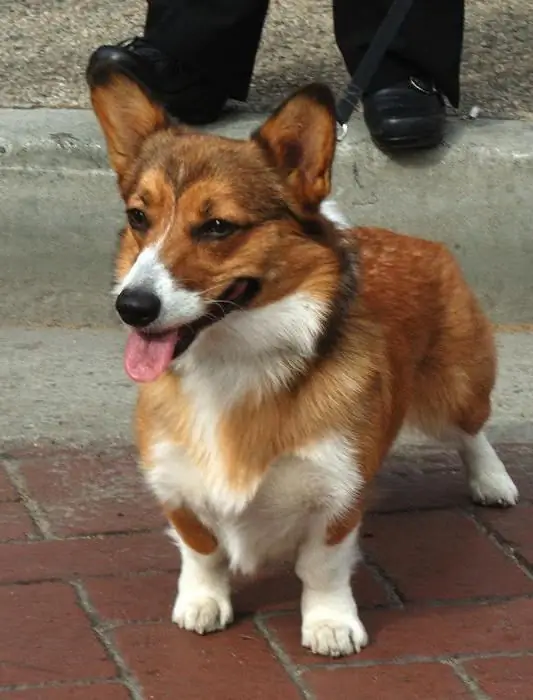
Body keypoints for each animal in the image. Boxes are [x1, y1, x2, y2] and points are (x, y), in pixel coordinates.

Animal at [89, 72, 516, 656]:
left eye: (217, 226)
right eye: (138, 217)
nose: (131, 307)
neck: (234, 361)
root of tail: (412, 238)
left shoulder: (337, 492)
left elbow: (323, 566)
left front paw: (330, 624)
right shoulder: (173, 481)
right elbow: (201, 548)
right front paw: (202, 601)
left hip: (454, 390)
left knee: (473, 432)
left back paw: (493, 482)